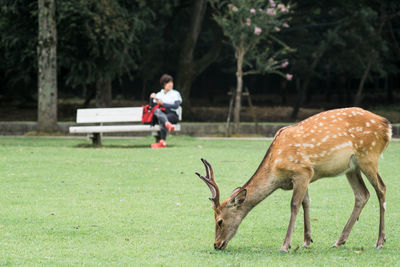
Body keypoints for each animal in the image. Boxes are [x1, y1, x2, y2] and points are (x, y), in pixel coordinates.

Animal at [195, 107, 392, 253]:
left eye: (219, 221)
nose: (216, 244)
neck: (276, 170)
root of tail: (387, 126)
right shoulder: (306, 176)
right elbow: (306, 202)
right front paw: (306, 241)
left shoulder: (302, 171)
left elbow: (294, 205)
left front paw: (285, 246)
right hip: (351, 167)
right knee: (362, 194)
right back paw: (339, 241)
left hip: (368, 156)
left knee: (381, 188)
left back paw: (380, 241)